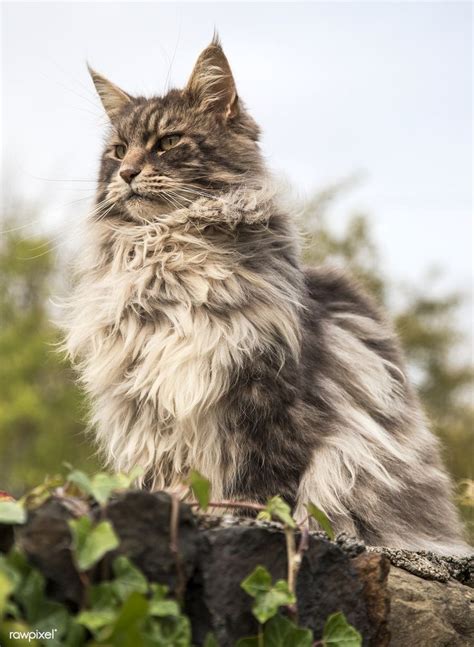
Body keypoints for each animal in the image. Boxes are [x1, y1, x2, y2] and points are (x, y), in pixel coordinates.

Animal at [61, 35, 468, 556]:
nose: (127, 173)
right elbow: (165, 479)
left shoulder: (267, 399)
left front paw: (250, 524)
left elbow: (262, 489)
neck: (168, 258)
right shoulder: (149, 410)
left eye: (168, 142)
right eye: (116, 151)